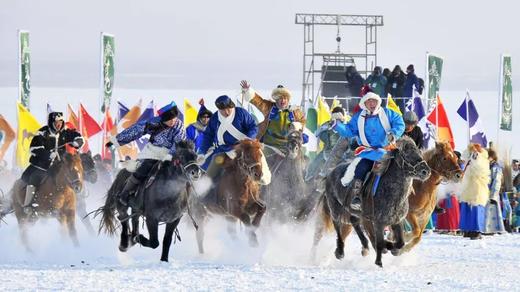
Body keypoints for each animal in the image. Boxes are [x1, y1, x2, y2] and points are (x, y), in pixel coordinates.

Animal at [312, 137, 430, 266]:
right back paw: (340, 251)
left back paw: (364, 248)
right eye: (406, 154)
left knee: (354, 222)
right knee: (336, 225)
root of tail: (330, 173)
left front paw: (393, 249)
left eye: (418, 152)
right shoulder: (375, 221)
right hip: (335, 209)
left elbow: (400, 243)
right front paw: (384, 250)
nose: (425, 171)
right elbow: (378, 241)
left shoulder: (396, 221)